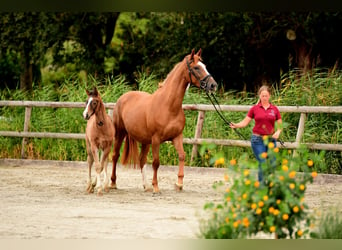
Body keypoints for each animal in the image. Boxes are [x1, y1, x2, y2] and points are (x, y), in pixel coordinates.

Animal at [111, 49, 218, 193]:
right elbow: (156, 162)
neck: (168, 106)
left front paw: (179, 184)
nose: (213, 85)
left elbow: (182, 156)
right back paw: (113, 183)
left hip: (145, 141)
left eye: (204, 66)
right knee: (115, 156)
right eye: (196, 67)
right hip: (120, 134)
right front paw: (156, 187)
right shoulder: (156, 140)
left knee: (141, 159)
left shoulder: (177, 137)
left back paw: (146, 186)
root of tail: (122, 98)